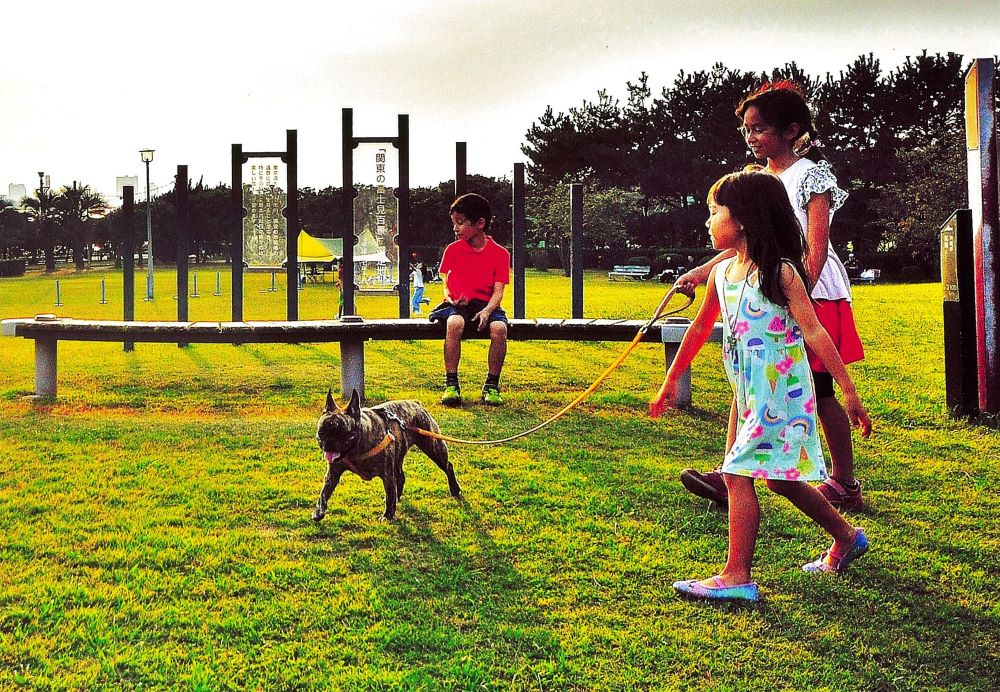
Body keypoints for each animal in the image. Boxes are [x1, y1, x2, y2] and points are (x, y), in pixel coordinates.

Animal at [312, 390, 460, 520]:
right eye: (321, 433)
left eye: (344, 434)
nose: (329, 443)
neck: (355, 450)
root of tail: (415, 403)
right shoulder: (333, 473)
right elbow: (324, 492)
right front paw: (319, 512)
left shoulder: (387, 473)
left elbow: (389, 493)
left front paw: (387, 516)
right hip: (398, 456)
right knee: (400, 478)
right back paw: (398, 498)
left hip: (433, 446)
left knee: (448, 466)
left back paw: (455, 490)